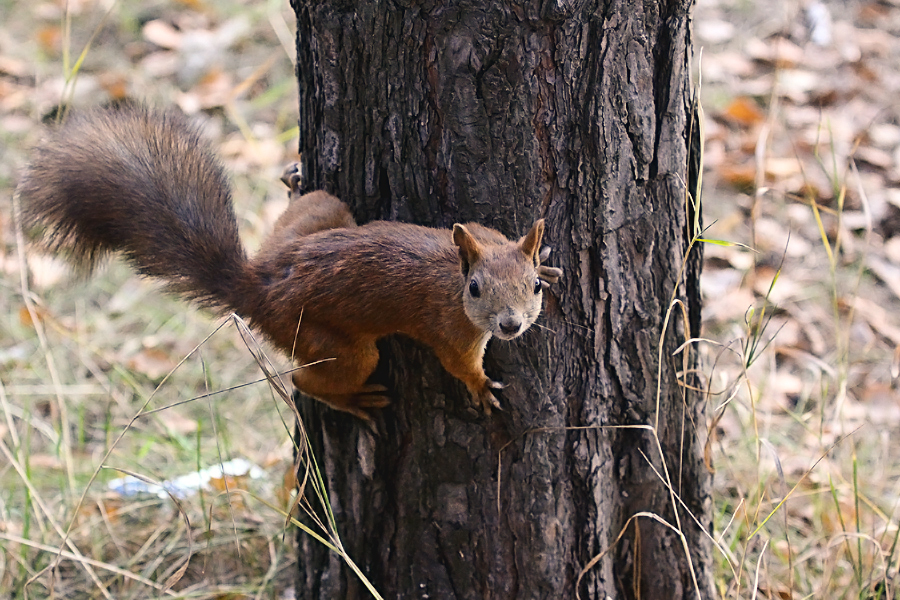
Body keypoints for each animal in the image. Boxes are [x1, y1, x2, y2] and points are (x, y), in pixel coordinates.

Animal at [15, 105, 564, 420]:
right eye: (475, 289)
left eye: (532, 287)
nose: (511, 325)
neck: (453, 272)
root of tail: (258, 286)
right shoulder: (451, 331)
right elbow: (458, 365)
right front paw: (480, 387)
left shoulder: (485, 233)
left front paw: (549, 260)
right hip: (328, 342)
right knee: (309, 379)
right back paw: (352, 401)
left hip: (321, 215)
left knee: (312, 204)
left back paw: (294, 184)